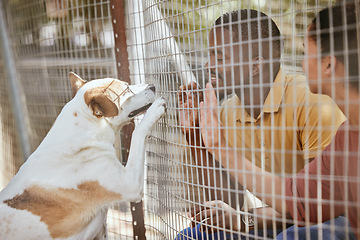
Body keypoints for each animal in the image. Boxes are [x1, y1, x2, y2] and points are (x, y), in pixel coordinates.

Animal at [0, 72, 166, 239]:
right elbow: (138, 133)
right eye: (126, 89)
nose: (152, 86)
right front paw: (154, 111)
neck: (86, 130)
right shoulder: (129, 184)